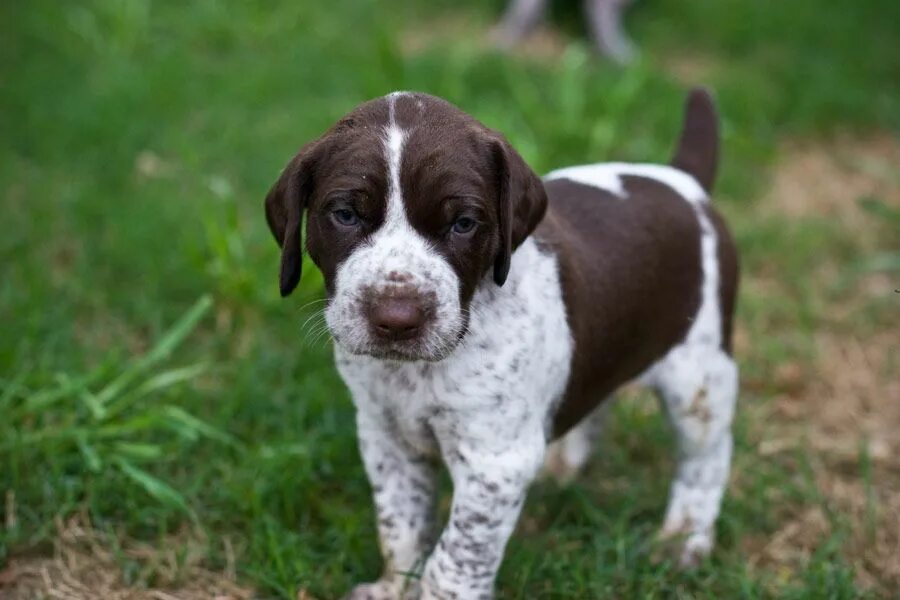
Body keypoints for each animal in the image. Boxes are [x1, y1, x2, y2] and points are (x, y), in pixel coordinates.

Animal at [266, 89, 740, 600]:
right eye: (345, 215)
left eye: (464, 223)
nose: (397, 319)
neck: (417, 372)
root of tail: (683, 181)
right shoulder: (386, 436)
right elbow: (401, 526)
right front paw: (395, 587)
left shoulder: (494, 462)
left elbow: (454, 558)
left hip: (699, 378)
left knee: (707, 459)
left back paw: (683, 541)